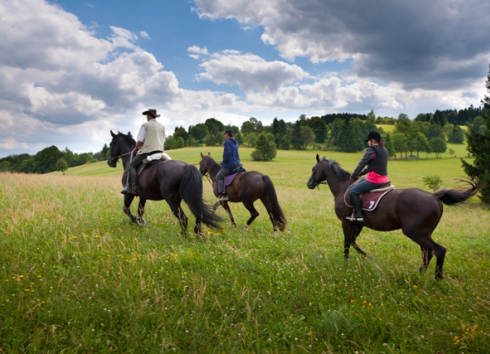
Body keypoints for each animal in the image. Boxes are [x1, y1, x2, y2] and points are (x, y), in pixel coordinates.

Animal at [308, 155, 476, 280]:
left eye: (314, 169)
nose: (309, 183)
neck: (343, 187)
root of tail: (434, 196)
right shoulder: (357, 224)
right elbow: (353, 242)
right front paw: (367, 257)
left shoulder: (346, 222)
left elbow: (347, 243)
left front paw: (347, 263)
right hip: (423, 233)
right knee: (427, 252)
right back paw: (421, 274)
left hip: (416, 233)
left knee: (438, 250)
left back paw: (437, 277)